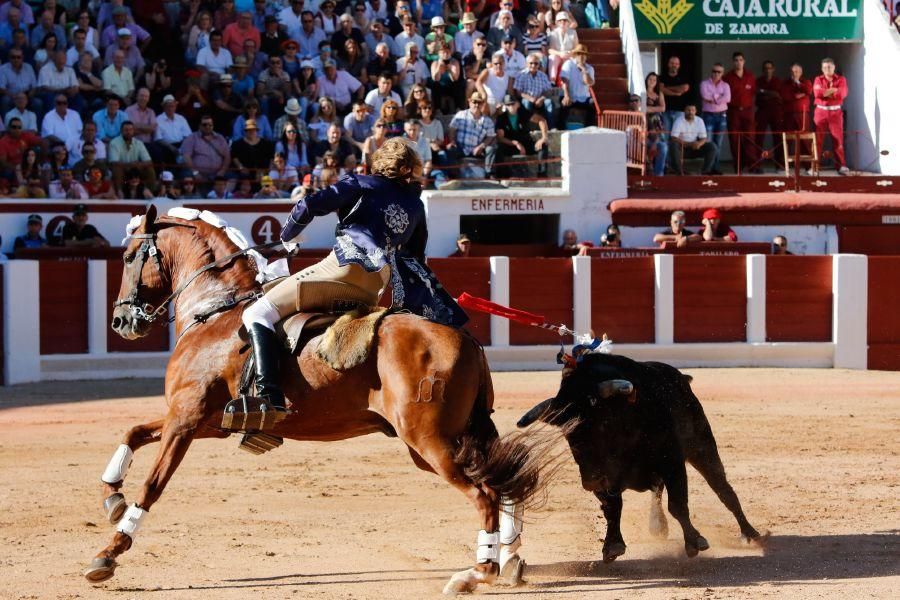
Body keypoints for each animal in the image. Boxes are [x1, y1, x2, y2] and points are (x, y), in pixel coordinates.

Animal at [86, 209, 548, 592]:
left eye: (129, 256)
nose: (121, 320)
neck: (214, 311)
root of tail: (466, 339)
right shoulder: (205, 422)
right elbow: (132, 432)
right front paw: (112, 498)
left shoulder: (186, 417)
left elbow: (153, 484)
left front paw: (108, 554)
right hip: (454, 436)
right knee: (503, 484)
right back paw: (510, 559)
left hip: (430, 441)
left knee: (484, 494)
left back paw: (478, 572)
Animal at [516, 354, 764, 560]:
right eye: (567, 433)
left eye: (600, 423)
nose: (590, 482)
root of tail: (681, 379)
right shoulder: (605, 476)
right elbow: (612, 508)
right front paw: (612, 545)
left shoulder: (672, 462)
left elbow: (678, 505)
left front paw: (694, 541)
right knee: (657, 492)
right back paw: (658, 525)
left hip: (703, 448)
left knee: (724, 490)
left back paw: (751, 534)